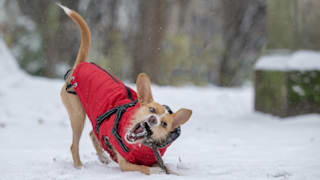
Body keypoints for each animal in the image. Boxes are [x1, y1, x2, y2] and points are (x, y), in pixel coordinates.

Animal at [58, 4, 192, 175]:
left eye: (164, 124)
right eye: (152, 109)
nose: (152, 119)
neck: (144, 146)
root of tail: (81, 65)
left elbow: (165, 166)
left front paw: (174, 172)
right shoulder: (126, 164)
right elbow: (145, 168)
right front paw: (157, 171)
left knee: (93, 134)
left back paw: (103, 157)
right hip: (77, 115)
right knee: (74, 145)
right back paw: (79, 166)